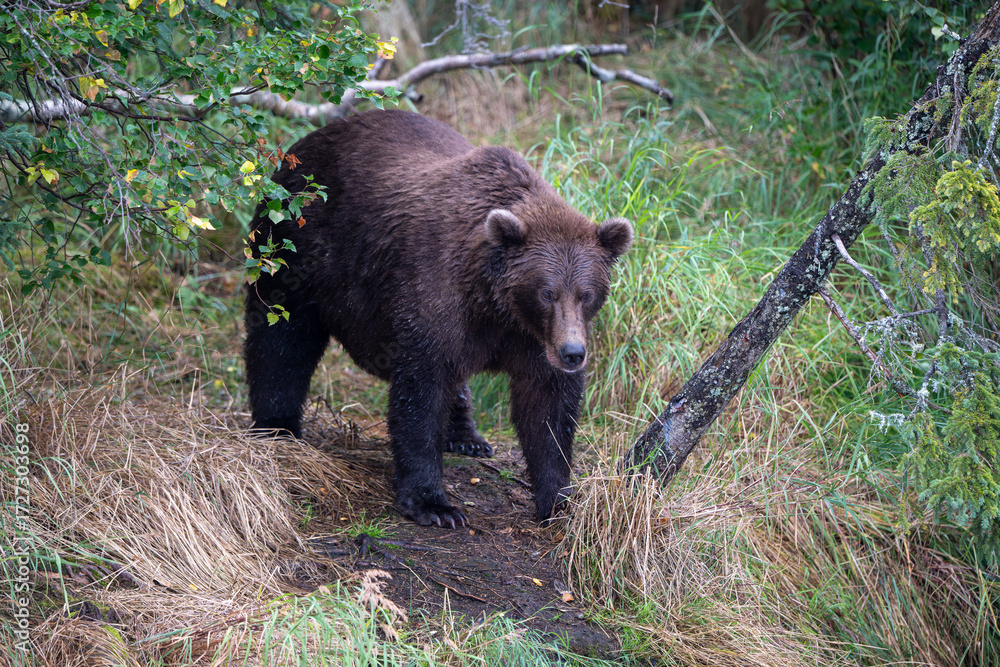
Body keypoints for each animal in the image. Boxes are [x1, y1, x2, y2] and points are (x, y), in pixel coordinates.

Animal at [244, 110, 632, 528]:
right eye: (547, 292)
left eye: (587, 294)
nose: (573, 353)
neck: (495, 304)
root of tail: (301, 146)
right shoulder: (435, 291)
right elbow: (421, 390)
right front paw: (434, 504)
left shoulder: (532, 338)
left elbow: (548, 407)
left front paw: (558, 501)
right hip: (297, 246)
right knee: (282, 337)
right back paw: (277, 426)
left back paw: (467, 436)